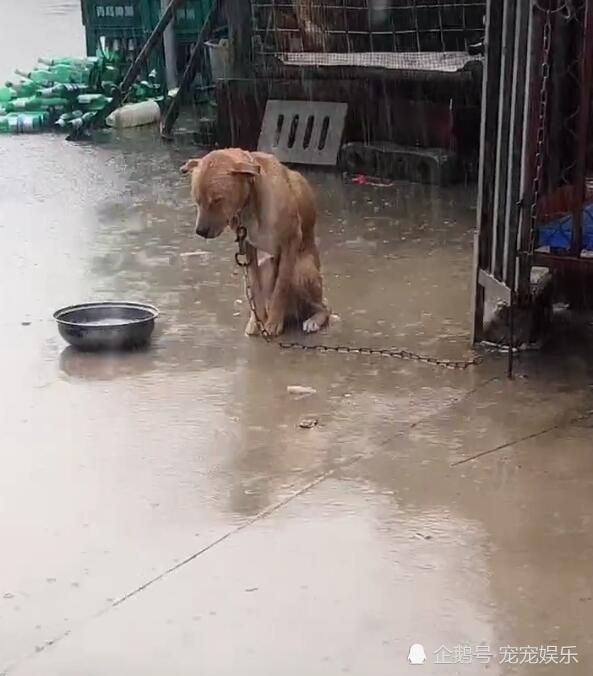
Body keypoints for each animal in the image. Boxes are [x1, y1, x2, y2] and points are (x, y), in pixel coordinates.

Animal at [180, 149, 328, 338]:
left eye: (217, 200)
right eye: (197, 200)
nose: (200, 231)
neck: (250, 204)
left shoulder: (291, 241)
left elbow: (282, 286)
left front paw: (273, 322)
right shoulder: (248, 248)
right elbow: (255, 288)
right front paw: (258, 321)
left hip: (301, 269)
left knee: (323, 307)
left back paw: (313, 320)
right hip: (266, 265)